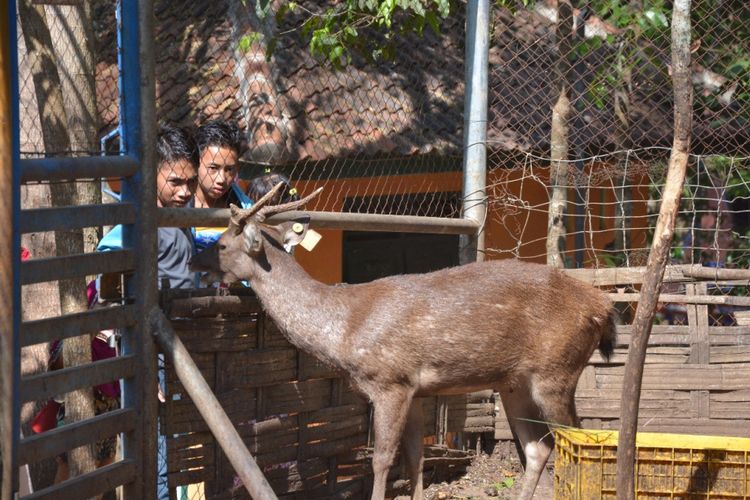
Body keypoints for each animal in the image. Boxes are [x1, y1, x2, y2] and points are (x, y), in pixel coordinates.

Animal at [191, 184, 620, 500]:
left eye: (222, 244)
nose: (196, 260)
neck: (343, 328)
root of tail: (601, 306)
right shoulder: (416, 388)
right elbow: (415, 457)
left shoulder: (390, 381)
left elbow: (382, 458)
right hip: (514, 382)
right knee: (538, 447)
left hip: (557, 370)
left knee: (581, 440)